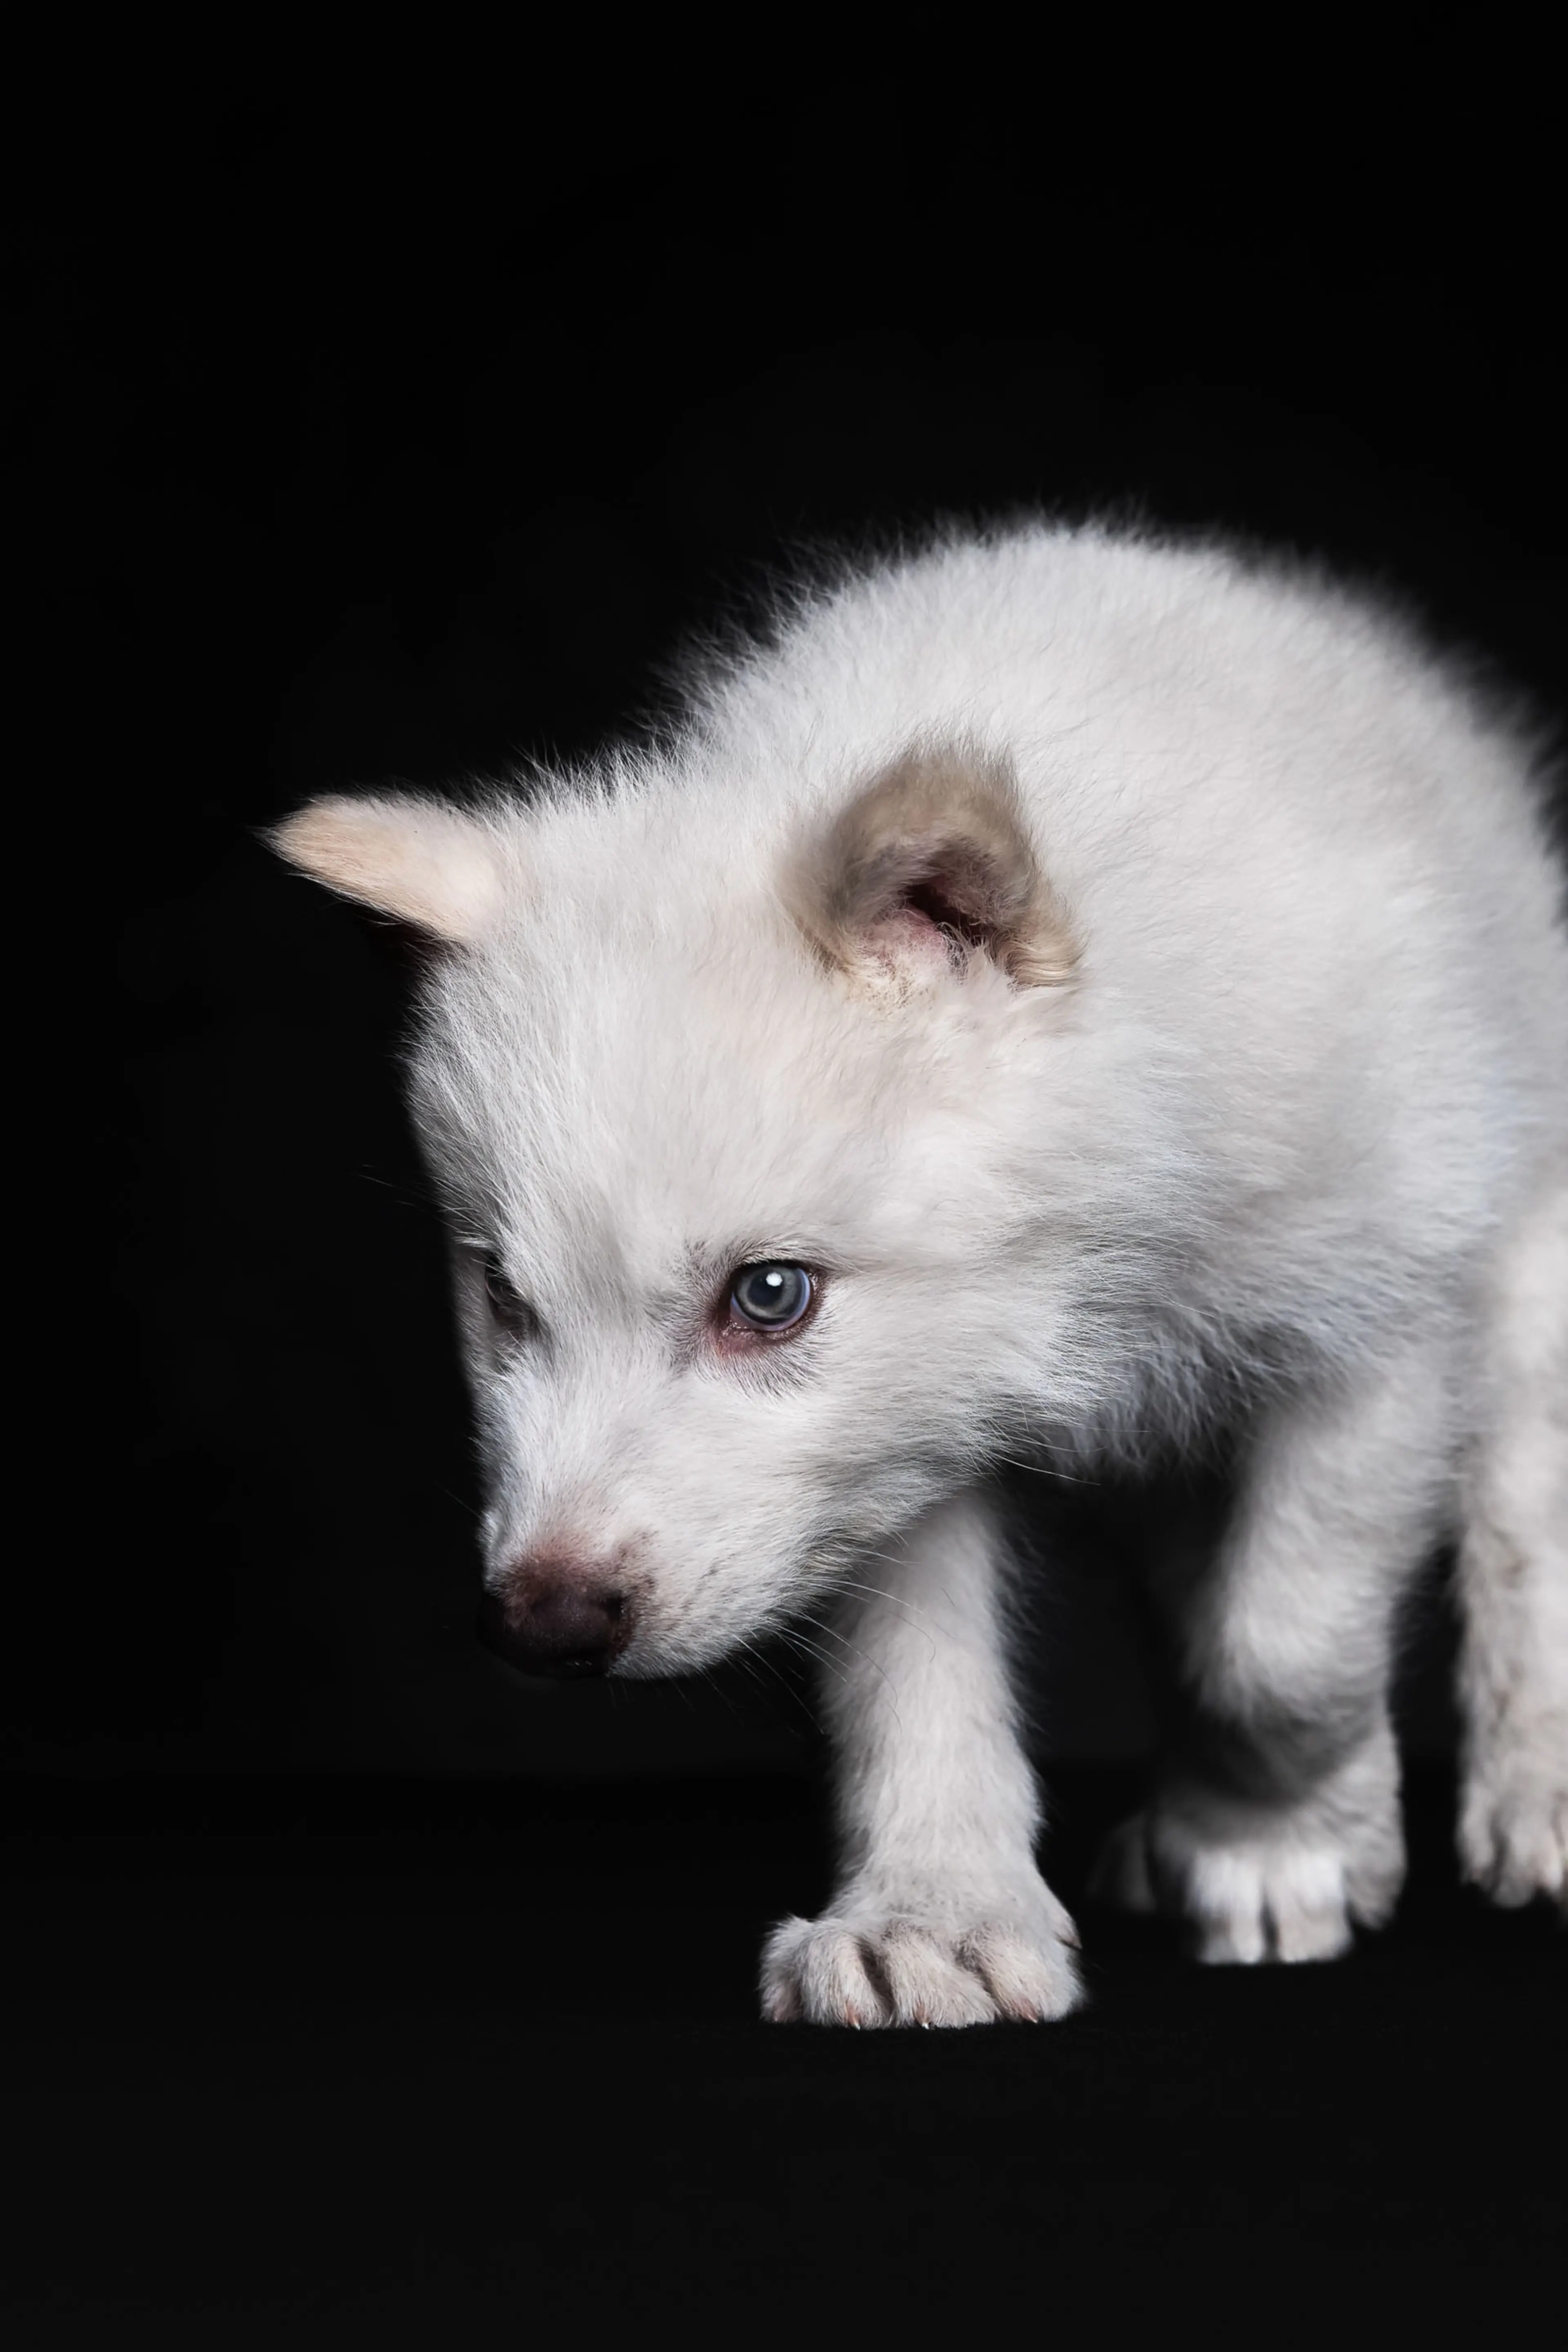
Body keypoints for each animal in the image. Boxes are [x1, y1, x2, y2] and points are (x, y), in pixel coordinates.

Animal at [272, 522, 1567, 2026]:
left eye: (768, 1297)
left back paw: (1529, 1796)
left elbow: (1280, 1648)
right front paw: (936, 1919)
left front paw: (1276, 1844)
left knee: (1518, 1503)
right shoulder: (891, 1446)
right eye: (502, 1300)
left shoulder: (1379, 1330)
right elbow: (922, 1680)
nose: (540, 1628)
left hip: (1522, 1246)